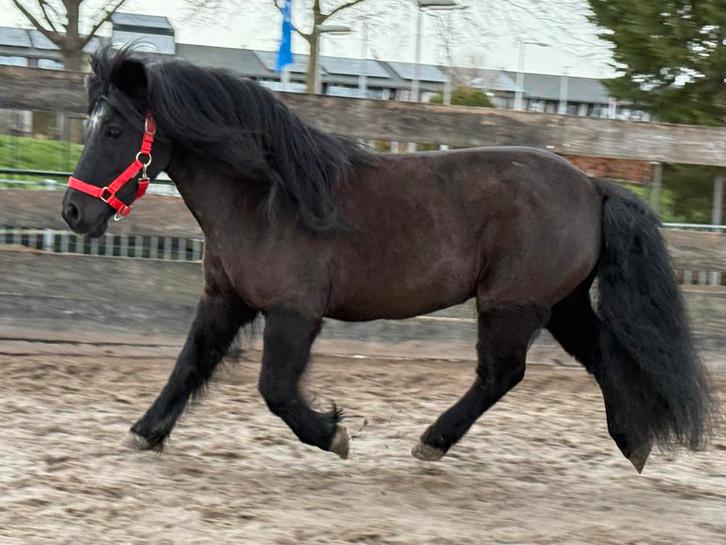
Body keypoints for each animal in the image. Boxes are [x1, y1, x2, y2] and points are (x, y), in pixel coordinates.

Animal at [61, 48, 715, 473]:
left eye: (115, 129)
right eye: (92, 124)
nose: (73, 211)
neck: (267, 196)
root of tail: (592, 186)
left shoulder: (294, 312)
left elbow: (276, 391)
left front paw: (335, 435)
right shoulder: (226, 301)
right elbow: (189, 366)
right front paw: (144, 434)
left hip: (513, 304)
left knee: (502, 373)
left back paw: (432, 442)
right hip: (559, 303)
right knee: (601, 353)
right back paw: (633, 442)